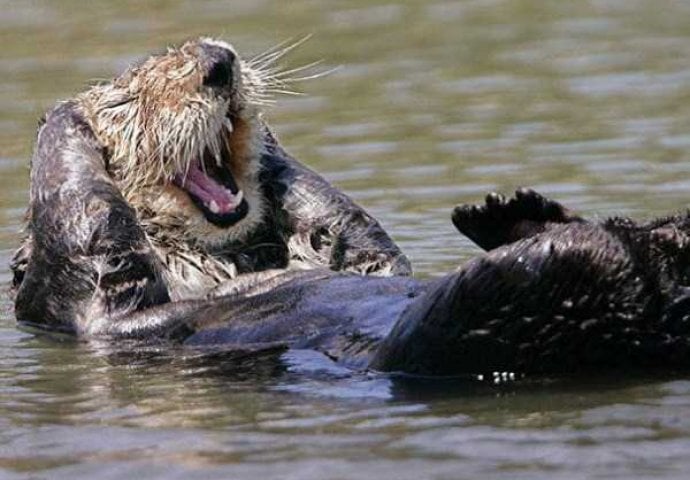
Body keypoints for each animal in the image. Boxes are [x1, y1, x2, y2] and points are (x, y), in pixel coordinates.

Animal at [9, 37, 688, 376]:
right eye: (132, 100)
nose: (218, 64)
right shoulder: (86, 304)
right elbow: (86, 232)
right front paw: (65, 119)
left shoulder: (362, 252)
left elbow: (356, 237)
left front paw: (275, 156)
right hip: (476, 328)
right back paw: (546, 233)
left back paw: (513, 214)